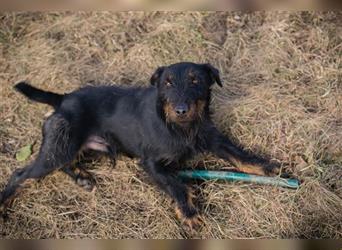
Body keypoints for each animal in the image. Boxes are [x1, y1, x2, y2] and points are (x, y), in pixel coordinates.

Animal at [0, 62, 280, 229]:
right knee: (22, 174)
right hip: (61, 145)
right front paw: (189, 213)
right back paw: (4, 204)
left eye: (196, 81)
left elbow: (239, 155)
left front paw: (267, 168)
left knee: (64, 162)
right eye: (167, 82)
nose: (181, 109)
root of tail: (62, 99)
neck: (182, 128)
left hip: (76, 146)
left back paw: (82, 177)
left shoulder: (213, 138)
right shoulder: (151, 163)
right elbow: (176, 185)